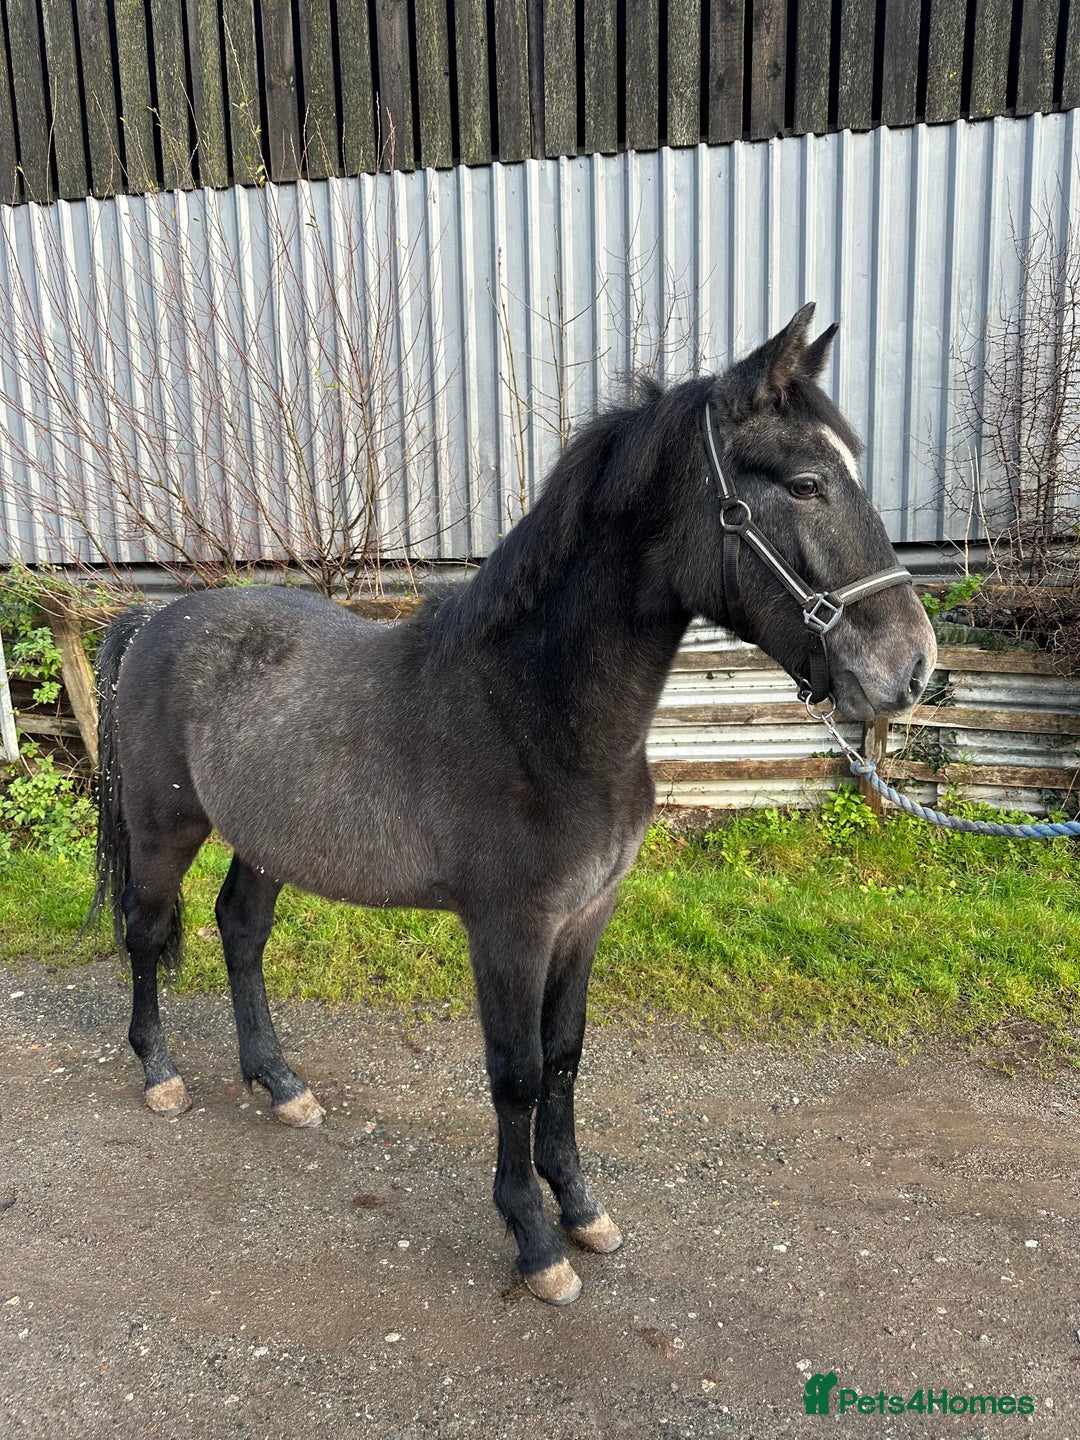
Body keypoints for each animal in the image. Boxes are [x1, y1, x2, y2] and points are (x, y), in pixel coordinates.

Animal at [88, 304, 936, 1306]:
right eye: (805, 484)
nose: (912, 667)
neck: (532, 709)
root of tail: (155, 620)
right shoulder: (509, 929)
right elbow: (518, 1075)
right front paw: (534, 1242)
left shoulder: (586, 916)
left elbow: (566, 1057)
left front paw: (582, 1210)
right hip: (164, 830)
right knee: (147, 932)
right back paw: (160, 1074)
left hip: (268, 840)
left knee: (240, 929)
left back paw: (281, 1084)